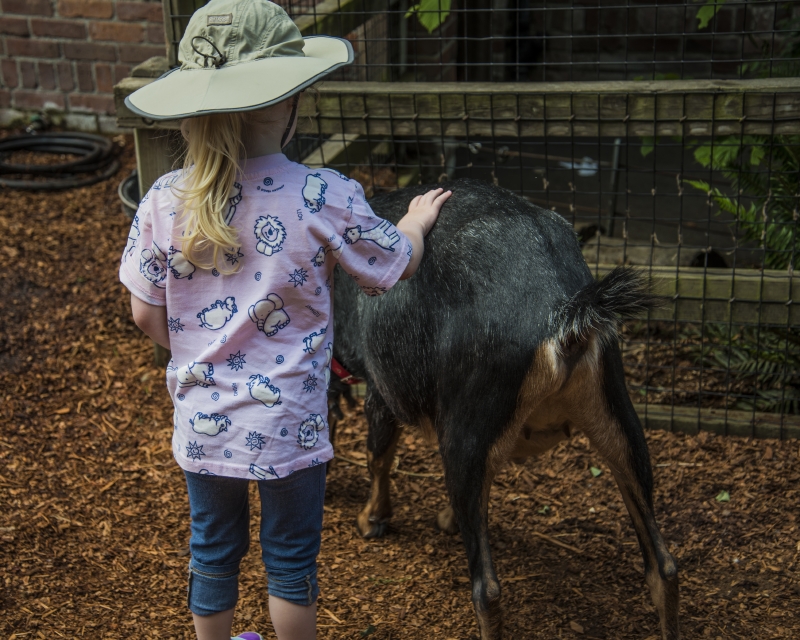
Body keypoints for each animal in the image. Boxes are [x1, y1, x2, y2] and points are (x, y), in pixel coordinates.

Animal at [330, 178, 679, 640]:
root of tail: (563, 315)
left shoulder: (383, 391)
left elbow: (378, 455)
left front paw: (372, 519)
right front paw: (446, 518)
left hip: (469, 424)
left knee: (487, 590)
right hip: (615, 408)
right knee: (664, 567)